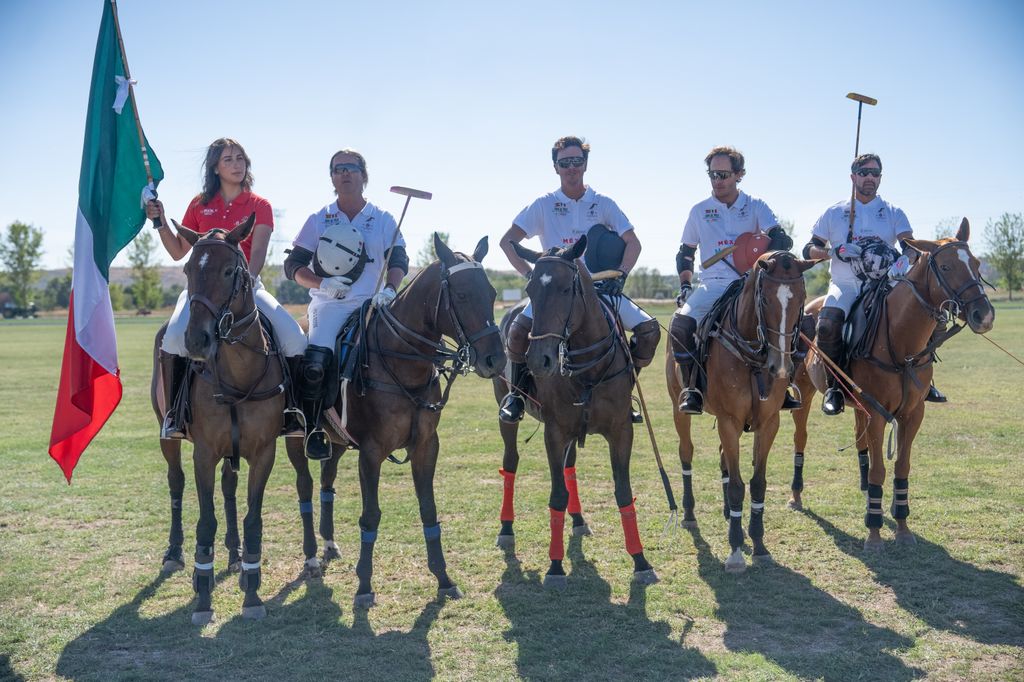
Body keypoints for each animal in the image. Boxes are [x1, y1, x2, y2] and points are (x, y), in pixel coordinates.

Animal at [148, 212, 284, 622]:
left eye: (228, 270)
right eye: (188, 268)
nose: (196, 341)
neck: (239, 374)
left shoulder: (263, 452)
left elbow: (252, 517)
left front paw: (252, 592)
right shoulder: (204, 452)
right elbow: (205, 520)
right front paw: (203, 592)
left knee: (228, 487)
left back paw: (236, 555)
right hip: (166, 433)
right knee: (175, 482)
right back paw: (174, 553)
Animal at [282, 233, 505, 606]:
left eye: (491, 293)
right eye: (461, 295)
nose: (495, 360)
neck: (403, 363)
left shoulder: (426, 445)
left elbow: (429, 509)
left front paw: (444, 579)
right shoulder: (372, 452)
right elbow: (370, 516)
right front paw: (364, 587)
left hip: (336, 440)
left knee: (327, 482)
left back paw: (329, 544)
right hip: (296, 437)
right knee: (305, 486)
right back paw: (311, 556)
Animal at [497, 236, 659, 585]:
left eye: (565, 289)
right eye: (530, 288)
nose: (539, 360)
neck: (588, 368)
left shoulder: (621, 431)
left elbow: (623, 492)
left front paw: (641, 561)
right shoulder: (554, 432)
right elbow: (556, 495)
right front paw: (555, 566)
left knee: (570, 466)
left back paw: (578, 519)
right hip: (508, 413)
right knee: (510, 462)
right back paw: (506, 528)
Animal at [667, 249, 819, 569]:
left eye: (802, 298)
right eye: (765, 301)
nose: (780, 367)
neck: (753, 357)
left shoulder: (769, 422)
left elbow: (757, 482)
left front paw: (759, 544)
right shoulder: (729, 420)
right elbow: (738, 485)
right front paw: (736, 549)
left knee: (724, 458)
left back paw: (727, 513)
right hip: (678, 407)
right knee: (686, 452)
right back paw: (689, 513)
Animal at [782, 218, 991, 548]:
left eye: (976, 263)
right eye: (945, 267)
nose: (985, 315)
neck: (901, 342)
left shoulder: (912, 412)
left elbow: (900, 466)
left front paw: (902, 527)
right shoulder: (878, 411)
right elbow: (880, 469)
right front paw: (874, 532)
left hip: (857, 403)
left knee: (859, 440)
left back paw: (864, 489)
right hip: (805, 389)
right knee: (800, 438)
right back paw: (796, 495)